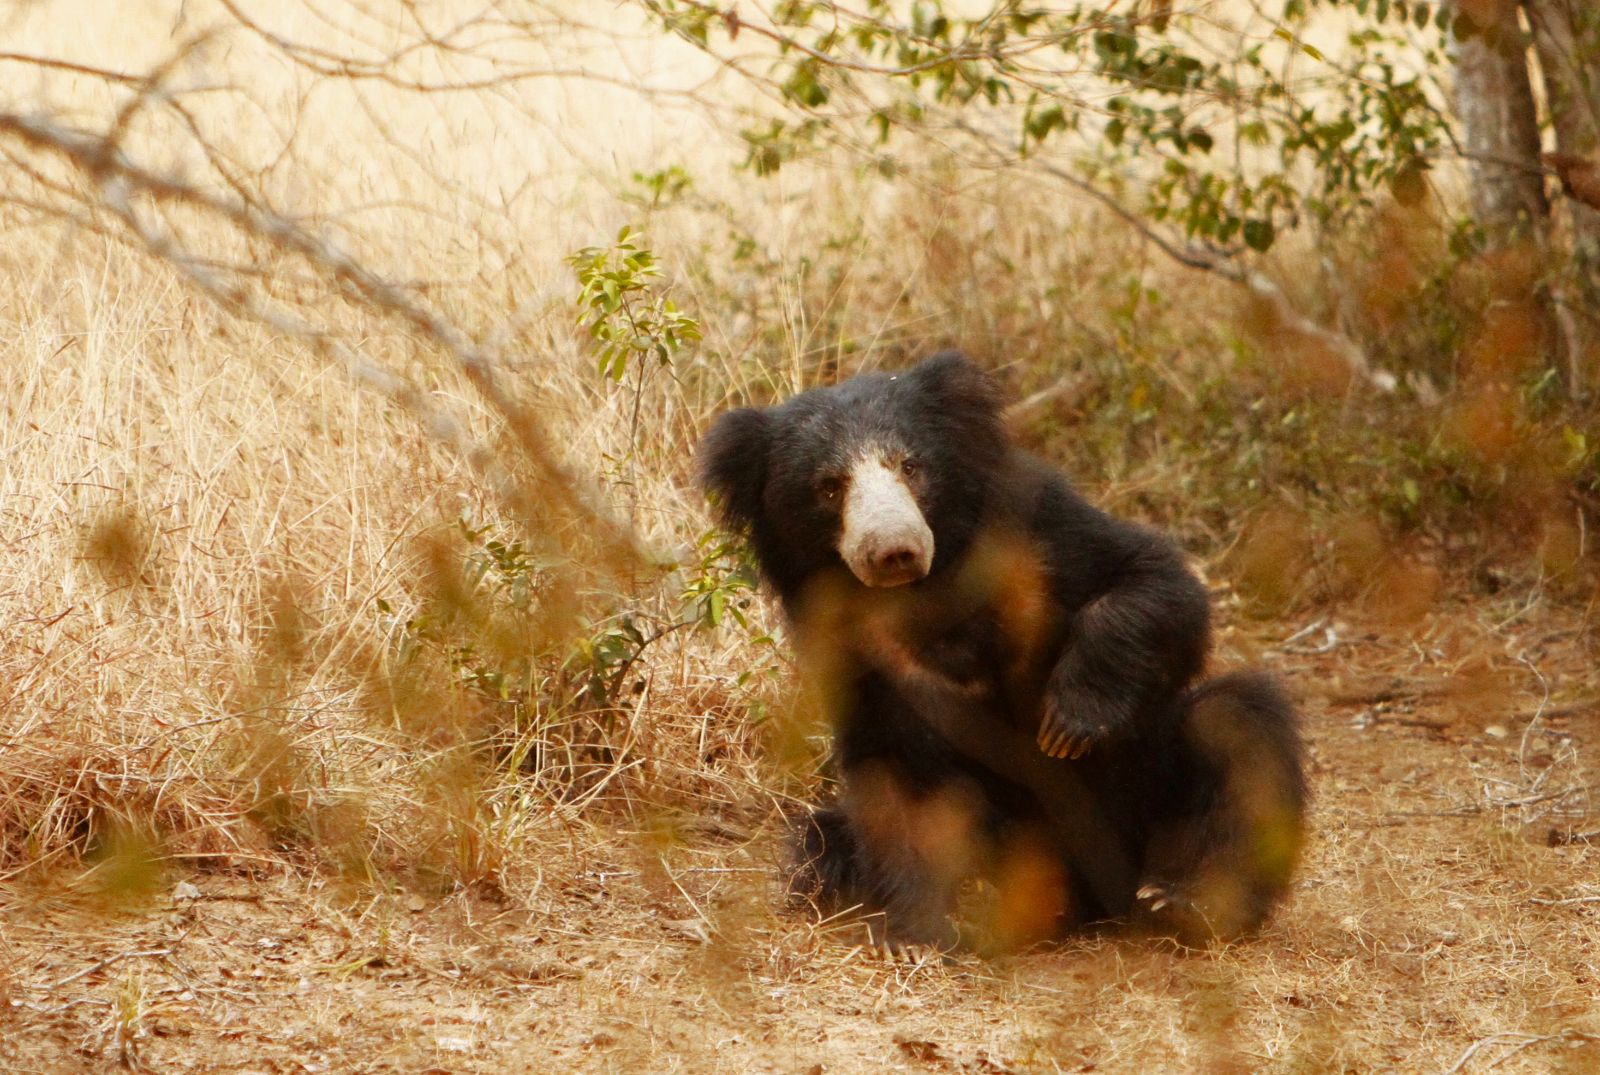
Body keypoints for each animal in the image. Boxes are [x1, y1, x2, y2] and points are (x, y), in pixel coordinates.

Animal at [698, 350, 1306, 950]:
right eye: (829, 487)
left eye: (911, 467)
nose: (894, 551)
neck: (921, 592)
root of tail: (1097, 903)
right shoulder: (850, 643)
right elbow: (896, 773)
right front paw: (914, 933)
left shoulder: (1032, 525)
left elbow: (1153, 580)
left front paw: (1070, 723)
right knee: (820, 838)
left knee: (1239, 726)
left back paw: (1184, 901)